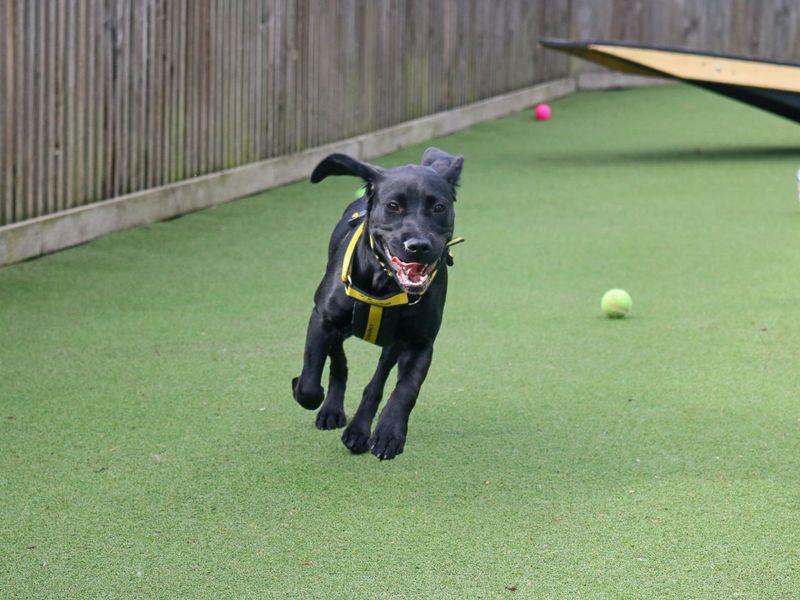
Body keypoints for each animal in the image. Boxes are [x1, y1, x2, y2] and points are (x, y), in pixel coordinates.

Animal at [294, 148, 462, 462]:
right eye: (393, 205)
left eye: (439, 207)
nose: (418, 246)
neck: (384, 283)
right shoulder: (322, 318)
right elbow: (310, 385)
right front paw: (306, 390)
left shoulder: (420, 342)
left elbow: (405, 390)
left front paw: (389, 433)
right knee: (339, 360)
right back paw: (332, 411)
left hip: (393, 344)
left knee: (376, 382)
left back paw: (359, 431)